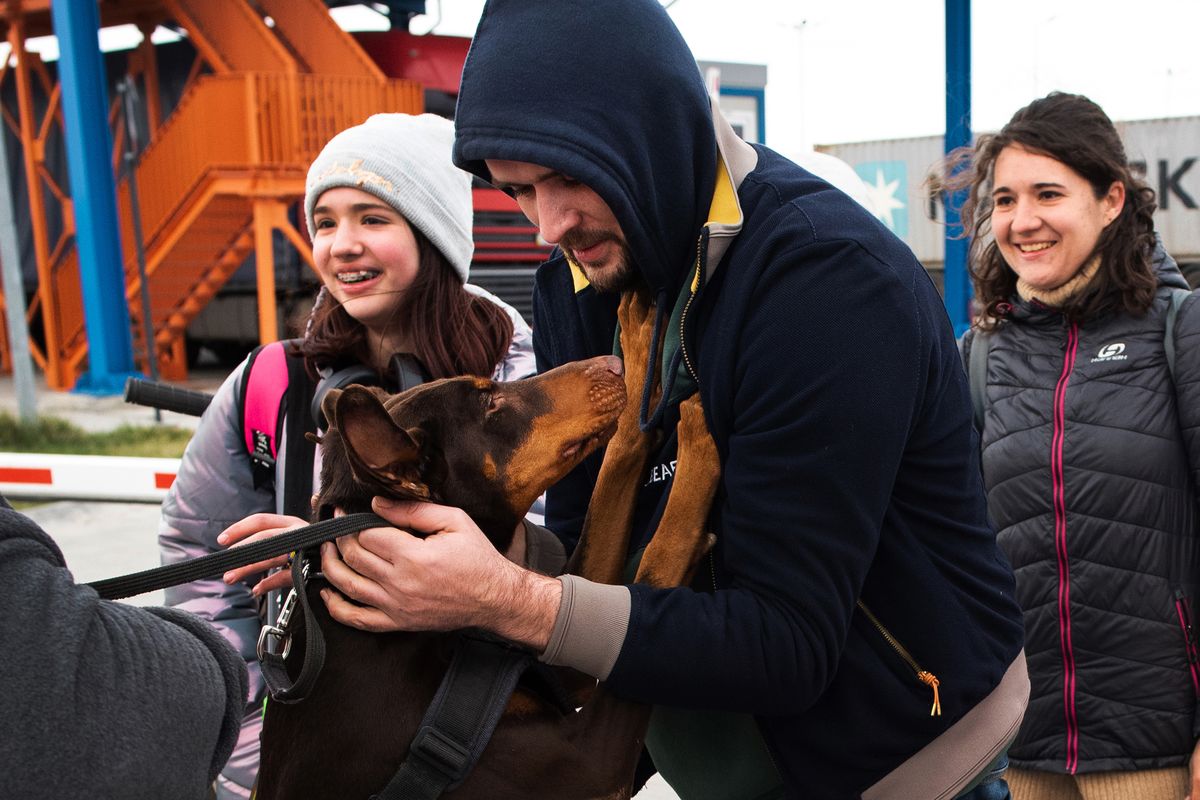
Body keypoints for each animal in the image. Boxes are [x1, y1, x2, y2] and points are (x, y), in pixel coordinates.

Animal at [256, 291, 715, 796]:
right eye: (490, 401)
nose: (611, 365)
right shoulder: (591, 762)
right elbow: (657, 561)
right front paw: (699, 444)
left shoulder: (557, 655)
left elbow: (610, 483)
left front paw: (637, 362)